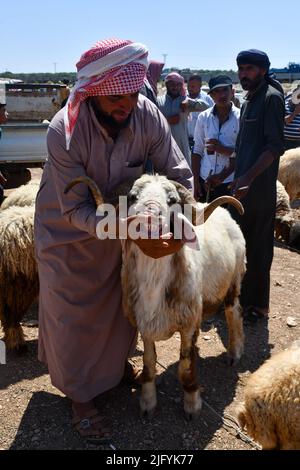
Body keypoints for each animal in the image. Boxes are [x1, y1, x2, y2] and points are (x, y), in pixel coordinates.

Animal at [65, 174, 246, 416]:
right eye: (132, 196)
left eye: (172, 200)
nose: (149, 218)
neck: (154, 284)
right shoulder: (145, 324)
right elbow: (149, 363)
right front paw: (147, 403)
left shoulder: (188, 324)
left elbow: (185, 366)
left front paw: (192, 404)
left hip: (234, 280)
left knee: (234, 312)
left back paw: (234, 354)